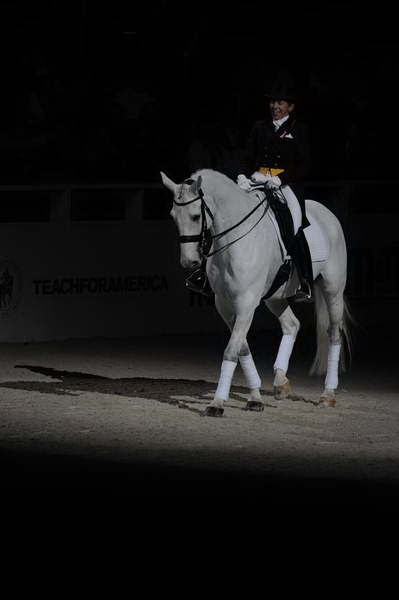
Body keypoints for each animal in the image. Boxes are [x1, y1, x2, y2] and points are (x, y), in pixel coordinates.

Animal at [161, 166, 352, 414]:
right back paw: (281, 382)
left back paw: (327, 394)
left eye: (195, 216)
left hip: (333, 290)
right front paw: (255, 398)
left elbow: (231, 350)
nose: (189, 262)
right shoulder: (225, 305)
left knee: (334, 334)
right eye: (173, 216)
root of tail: (326, 212)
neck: (233, 239)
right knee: (292, 325)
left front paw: (217, 403)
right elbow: (241, 348)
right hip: (275, 296)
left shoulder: (246, 303)